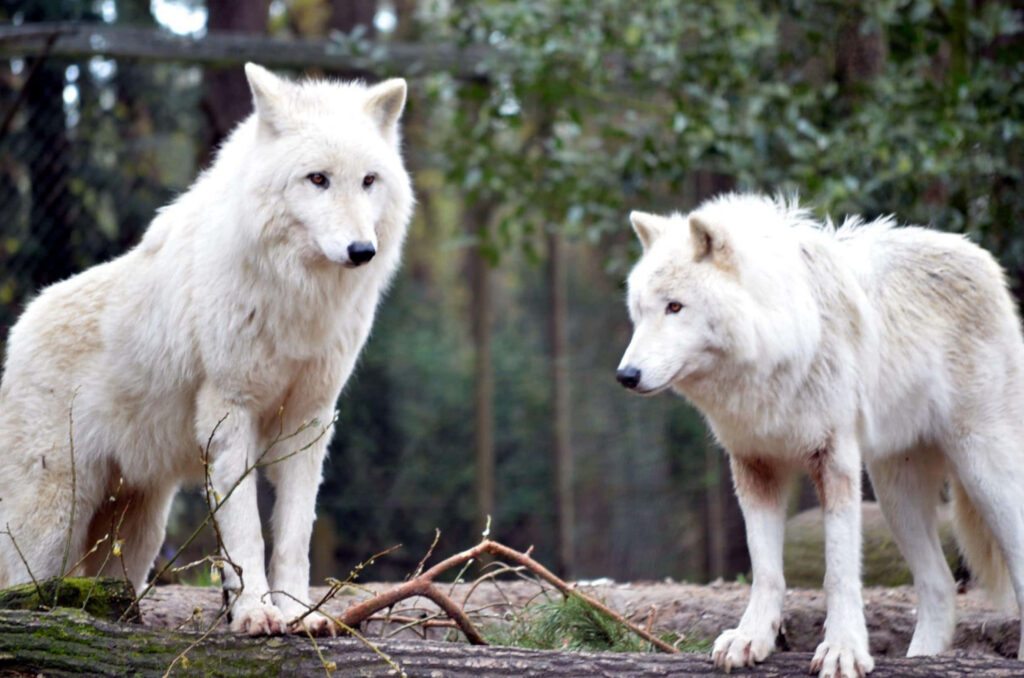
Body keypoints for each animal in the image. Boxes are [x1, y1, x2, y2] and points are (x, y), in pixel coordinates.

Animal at [0, 63, 413, 636]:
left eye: (369, 181)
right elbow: (246, 533)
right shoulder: (230, 412)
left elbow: (294, 535)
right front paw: (255, 612)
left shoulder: (309, 420)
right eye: (318, 179)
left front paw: (297, 614)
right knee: (22, 585)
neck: (296, 298)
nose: (362, 251)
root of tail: (18, 331)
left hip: (137, 525)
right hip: (53, 521)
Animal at [617, 193, 1024, 677]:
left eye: (675, 307)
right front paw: (752, 638)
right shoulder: (754, 466)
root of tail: (981, 257)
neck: (775, 343)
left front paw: (843, 649)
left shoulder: (834, 461)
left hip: (984, 472)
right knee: (939, 584)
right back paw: (922, 658)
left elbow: (839, 573)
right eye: (639, 311)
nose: (626, 375)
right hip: (895, 494)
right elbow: (766, 570)